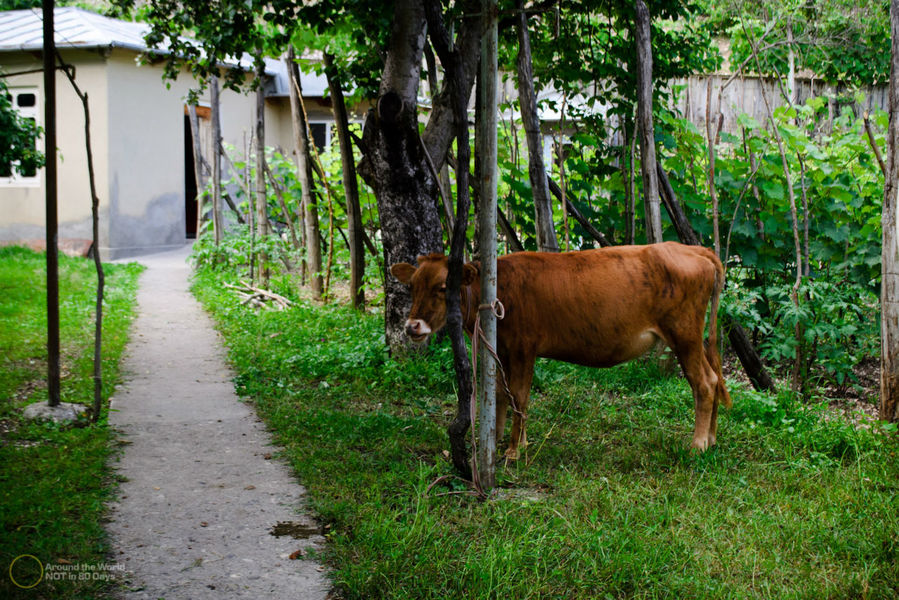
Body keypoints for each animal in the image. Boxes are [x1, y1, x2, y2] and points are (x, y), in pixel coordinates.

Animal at [392, 243, 732, 460]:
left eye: (442, 287)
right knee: (715, 379)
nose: (412, 326)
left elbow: (519, 395)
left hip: (684, 332)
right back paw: (713, 439)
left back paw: (698, 445)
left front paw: (514, 450)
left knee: (703, 383)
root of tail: (693, 249)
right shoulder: (503, 349)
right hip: (692, 336)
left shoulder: (523, 347)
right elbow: (502, 393)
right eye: (412, 286)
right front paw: (501, 439)